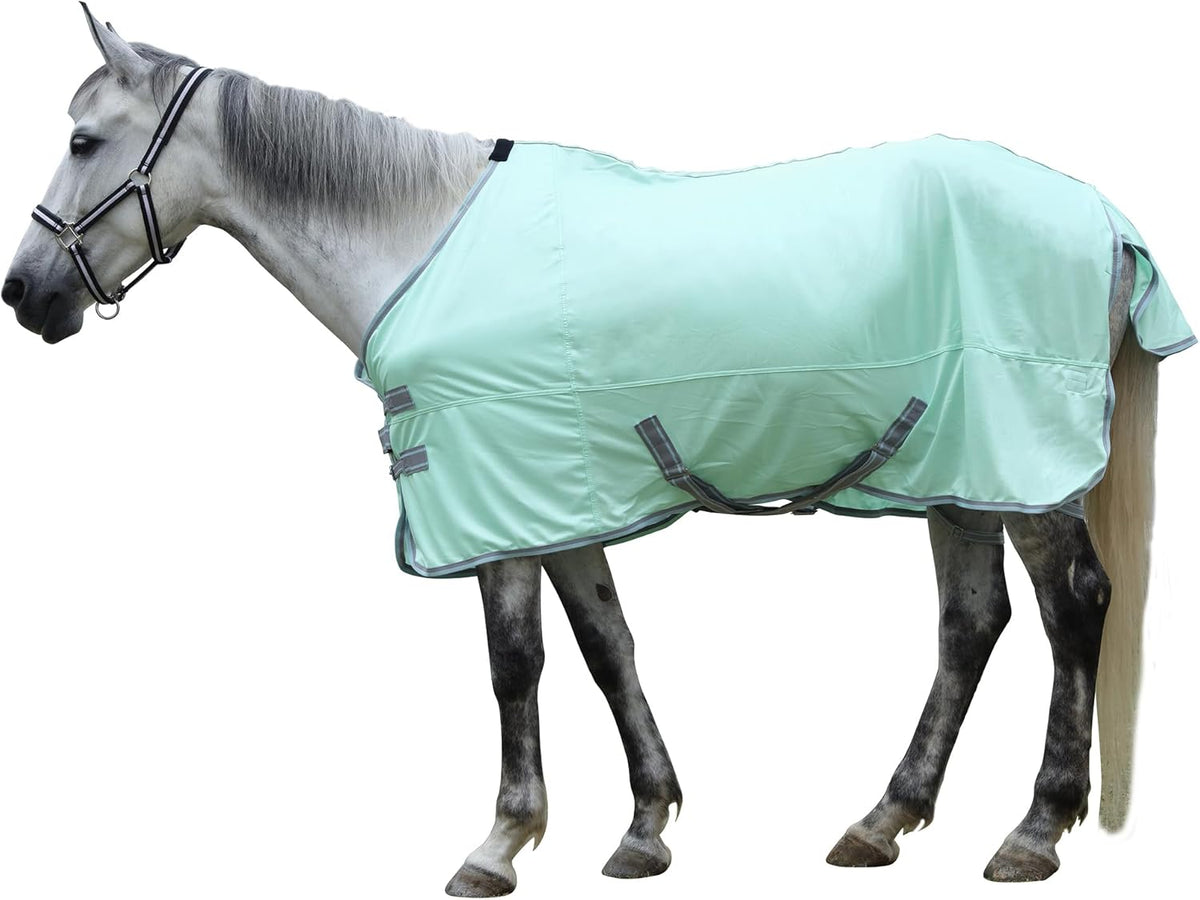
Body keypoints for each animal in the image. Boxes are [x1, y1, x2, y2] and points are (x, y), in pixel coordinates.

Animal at [3, 6, 1191, 895]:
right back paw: (884, 819)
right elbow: (607, 645)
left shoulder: (495, 498)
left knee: (1074, 607)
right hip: (959, 473)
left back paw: (1032, 832)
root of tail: (1101, 215)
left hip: (1024, 474)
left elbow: (515, 663)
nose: (27, 295)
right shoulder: (557, 495)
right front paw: (646, 827)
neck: (421, 242)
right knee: (970, 625)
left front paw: (499, 844)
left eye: (82, 141)